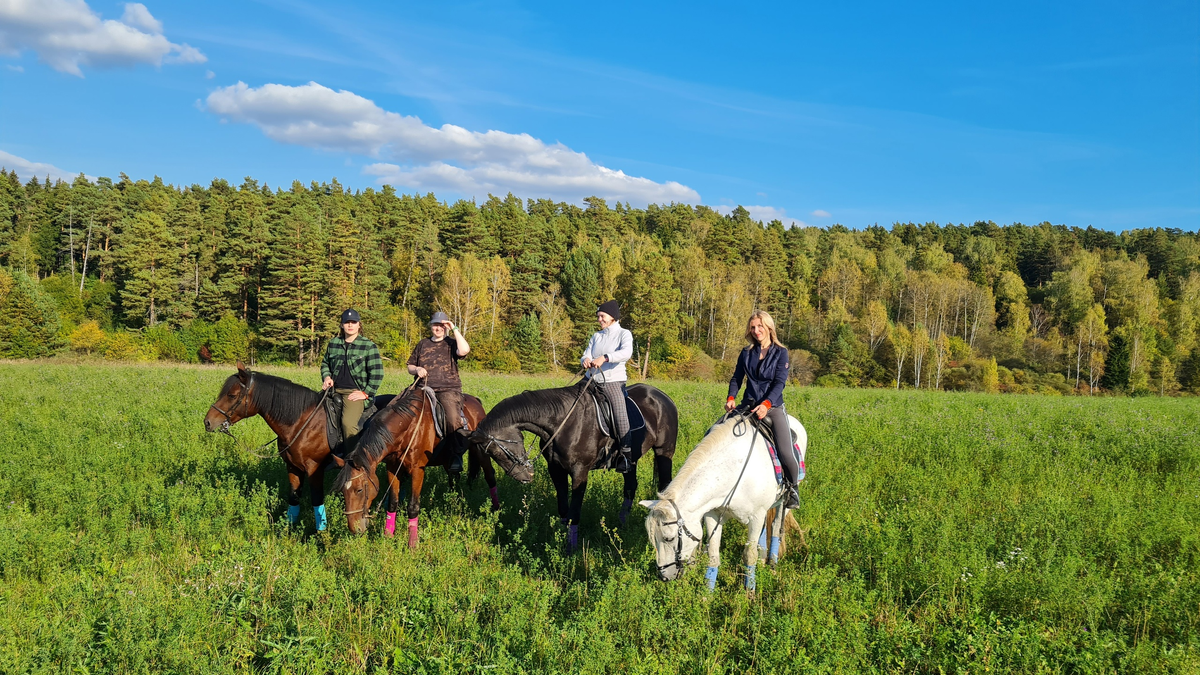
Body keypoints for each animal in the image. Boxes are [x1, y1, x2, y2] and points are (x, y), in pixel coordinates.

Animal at [204, 362, 348, 530]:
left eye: (232, 395)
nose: (207, 422)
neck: (303, 423)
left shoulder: (315, 469)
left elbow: (317, 500)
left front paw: (320, 532)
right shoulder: (293, 467)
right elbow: (293, 497)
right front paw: (287, 528)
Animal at [331, 384, 494, 547]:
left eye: (359, 490)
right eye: (342, 491)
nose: (354, 529)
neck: (408, 428)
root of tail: (476, 401)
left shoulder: (417, 470)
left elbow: (413, 507)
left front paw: (413, 544)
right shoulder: (393, 468)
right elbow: (393, 502)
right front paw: (388, 536)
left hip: (481, 451)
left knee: (489, 474)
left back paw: (495, 509)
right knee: (454, 478)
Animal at [468, 379, 676, 547]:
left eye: (496, 451)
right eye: (490, 454)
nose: (526, 477)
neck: (561, 423)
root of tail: (662, 396)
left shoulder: (579, 472)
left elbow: (574, 512)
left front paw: (571, 549)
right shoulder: (556, 470)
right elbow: (563, 509)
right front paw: (560, 539)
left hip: (664, 452)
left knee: (664, 485)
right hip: (630, 461)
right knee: (630, 487)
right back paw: (622, 524)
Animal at [638, 410, 806, 588]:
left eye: (669, 538)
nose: (663, 576)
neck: (735, 472)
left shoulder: (756, 516)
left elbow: (749, 555)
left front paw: (749, 591)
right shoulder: (713, 515)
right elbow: (713, 556)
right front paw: (707, 593)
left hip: (782, 503)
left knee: (775, 528)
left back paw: (772, 564)